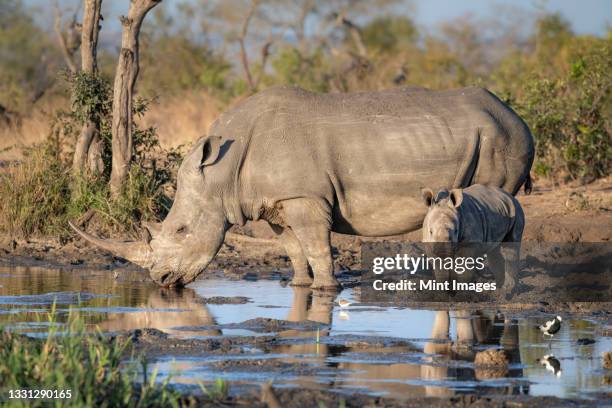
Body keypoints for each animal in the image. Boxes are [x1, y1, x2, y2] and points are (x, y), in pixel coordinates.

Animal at [69, 86, 532, 290]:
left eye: (181, 230)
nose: (161, 279)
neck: (222, 173)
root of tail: (517, 115)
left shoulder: (305, 198)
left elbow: (316, 246)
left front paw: (326, 288)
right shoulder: (273, 202)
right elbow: (292, 248)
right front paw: (298, 286)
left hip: (501, 138)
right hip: (496, 132)